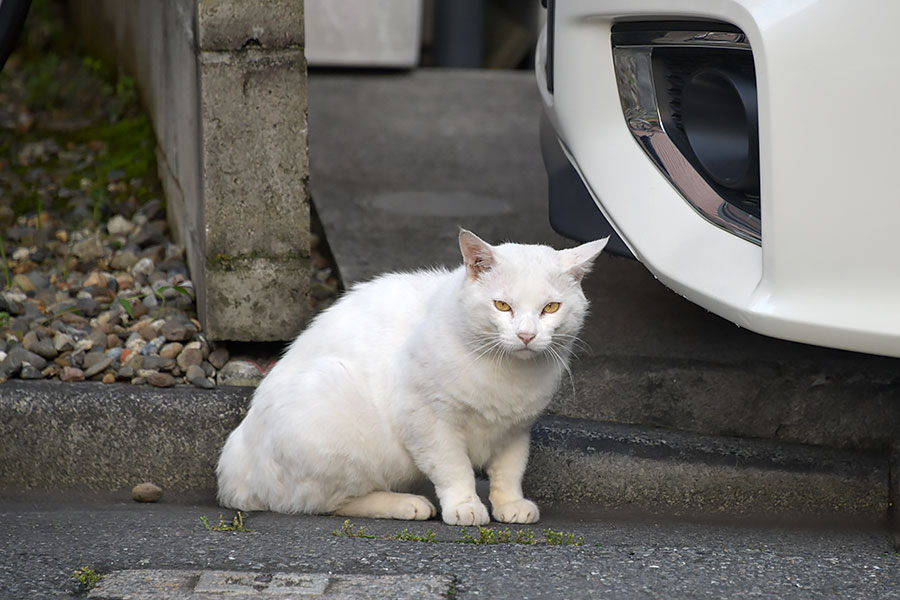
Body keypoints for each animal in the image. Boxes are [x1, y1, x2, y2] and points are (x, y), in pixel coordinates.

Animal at [215, 230, 608, 524]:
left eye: (550, 308)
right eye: (502, 306)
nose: (527, 335)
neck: (508, 374)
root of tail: (234, 466)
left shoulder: (516, 429)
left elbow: (510, 469)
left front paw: (509, 503)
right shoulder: (426, 420)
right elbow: (454, 468)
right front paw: (465, 505)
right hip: (330, 407)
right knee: (324, 502)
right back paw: (405, 503)